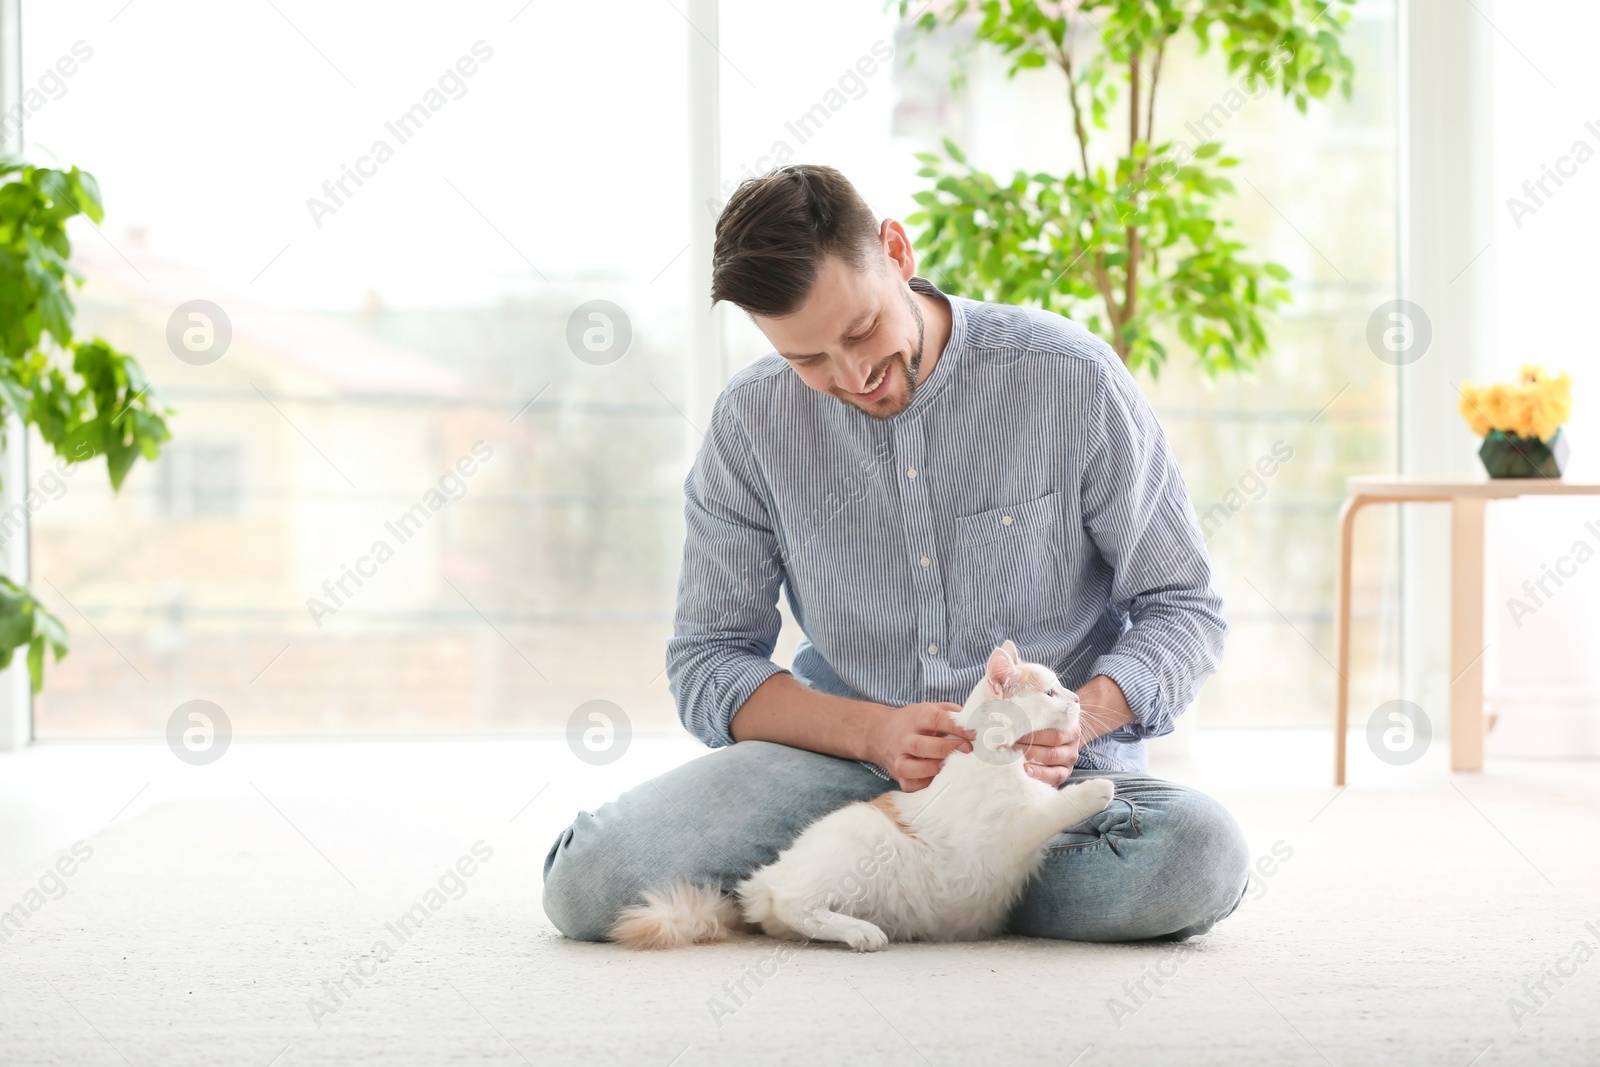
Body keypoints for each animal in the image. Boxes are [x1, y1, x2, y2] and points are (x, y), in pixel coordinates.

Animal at [601, 639, 1113, 953]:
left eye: (1062, 688)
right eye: (1050, 692)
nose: (1077, 700)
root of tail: (760, 882)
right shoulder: (1010, 830)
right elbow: (1058, 806)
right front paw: (1098, 789)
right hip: (857, 840)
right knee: (792, 904)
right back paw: (861, 933)